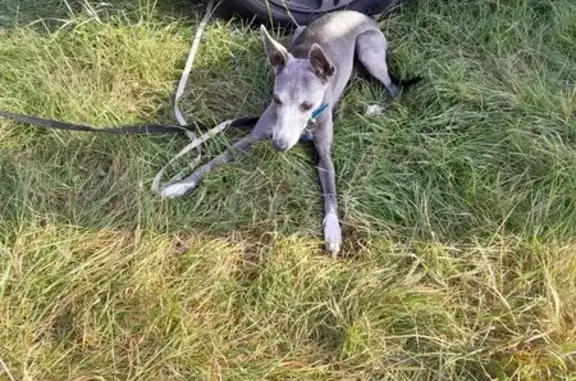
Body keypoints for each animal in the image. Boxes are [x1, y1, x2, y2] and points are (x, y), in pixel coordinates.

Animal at [165, 11, 418, 255]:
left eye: (307, 105)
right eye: (277, 99)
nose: (279, 144)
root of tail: (360, 15)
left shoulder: (324, 157)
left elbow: (331, 195)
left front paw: (333, 231)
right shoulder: (252, 137)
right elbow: (214, 161)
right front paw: (182, 184)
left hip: (367, 47)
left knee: (394, 89)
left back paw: (376, 108)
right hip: (304, 31)